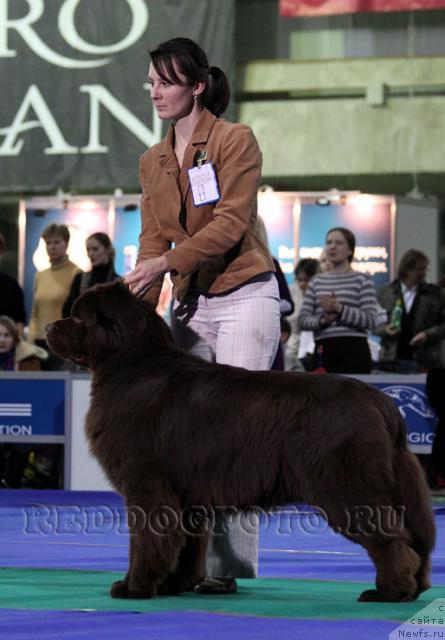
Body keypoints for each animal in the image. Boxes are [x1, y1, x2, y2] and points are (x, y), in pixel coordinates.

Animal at [46, 282, 434, 604]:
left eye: (78, 316)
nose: (49, 327)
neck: (132, 366)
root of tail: (382, 403)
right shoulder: (186, 494)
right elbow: (185, 543)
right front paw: (173, 584)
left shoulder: (147, 484)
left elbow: (147, 540)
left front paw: (134, 587)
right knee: (417, 537)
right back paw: (415, 587)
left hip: (348, 484)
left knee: (390, 536)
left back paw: (389, 592)